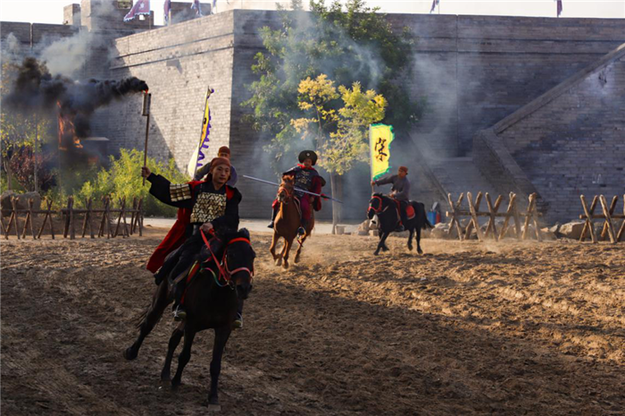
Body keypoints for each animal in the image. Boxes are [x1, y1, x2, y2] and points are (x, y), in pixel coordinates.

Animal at [123, 229, 255, 404]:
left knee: (173, 337)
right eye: (231, 254)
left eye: (252, 256)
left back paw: (165, 374)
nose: (244, 288)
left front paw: (213, 397)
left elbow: (216, 365)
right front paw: (176, 382)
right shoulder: (192, 324)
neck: (217, 294)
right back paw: (132, 352)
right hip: (161, 299)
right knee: (148, 325)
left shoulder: (223, 329)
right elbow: (185, 355)